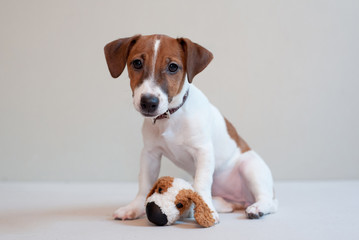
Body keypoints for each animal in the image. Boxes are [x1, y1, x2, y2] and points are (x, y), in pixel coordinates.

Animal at [104, 33, 278, 223]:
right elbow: (144, 184)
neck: (171, 116)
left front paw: (207, 210)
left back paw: (257, 207)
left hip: (250, 168)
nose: (149, 102)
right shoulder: (150, 154)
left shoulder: (203, 151)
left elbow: (202, 184)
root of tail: (240, 200)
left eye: (173, 67)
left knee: (269, 200)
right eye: (137, 63)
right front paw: (134, 208)